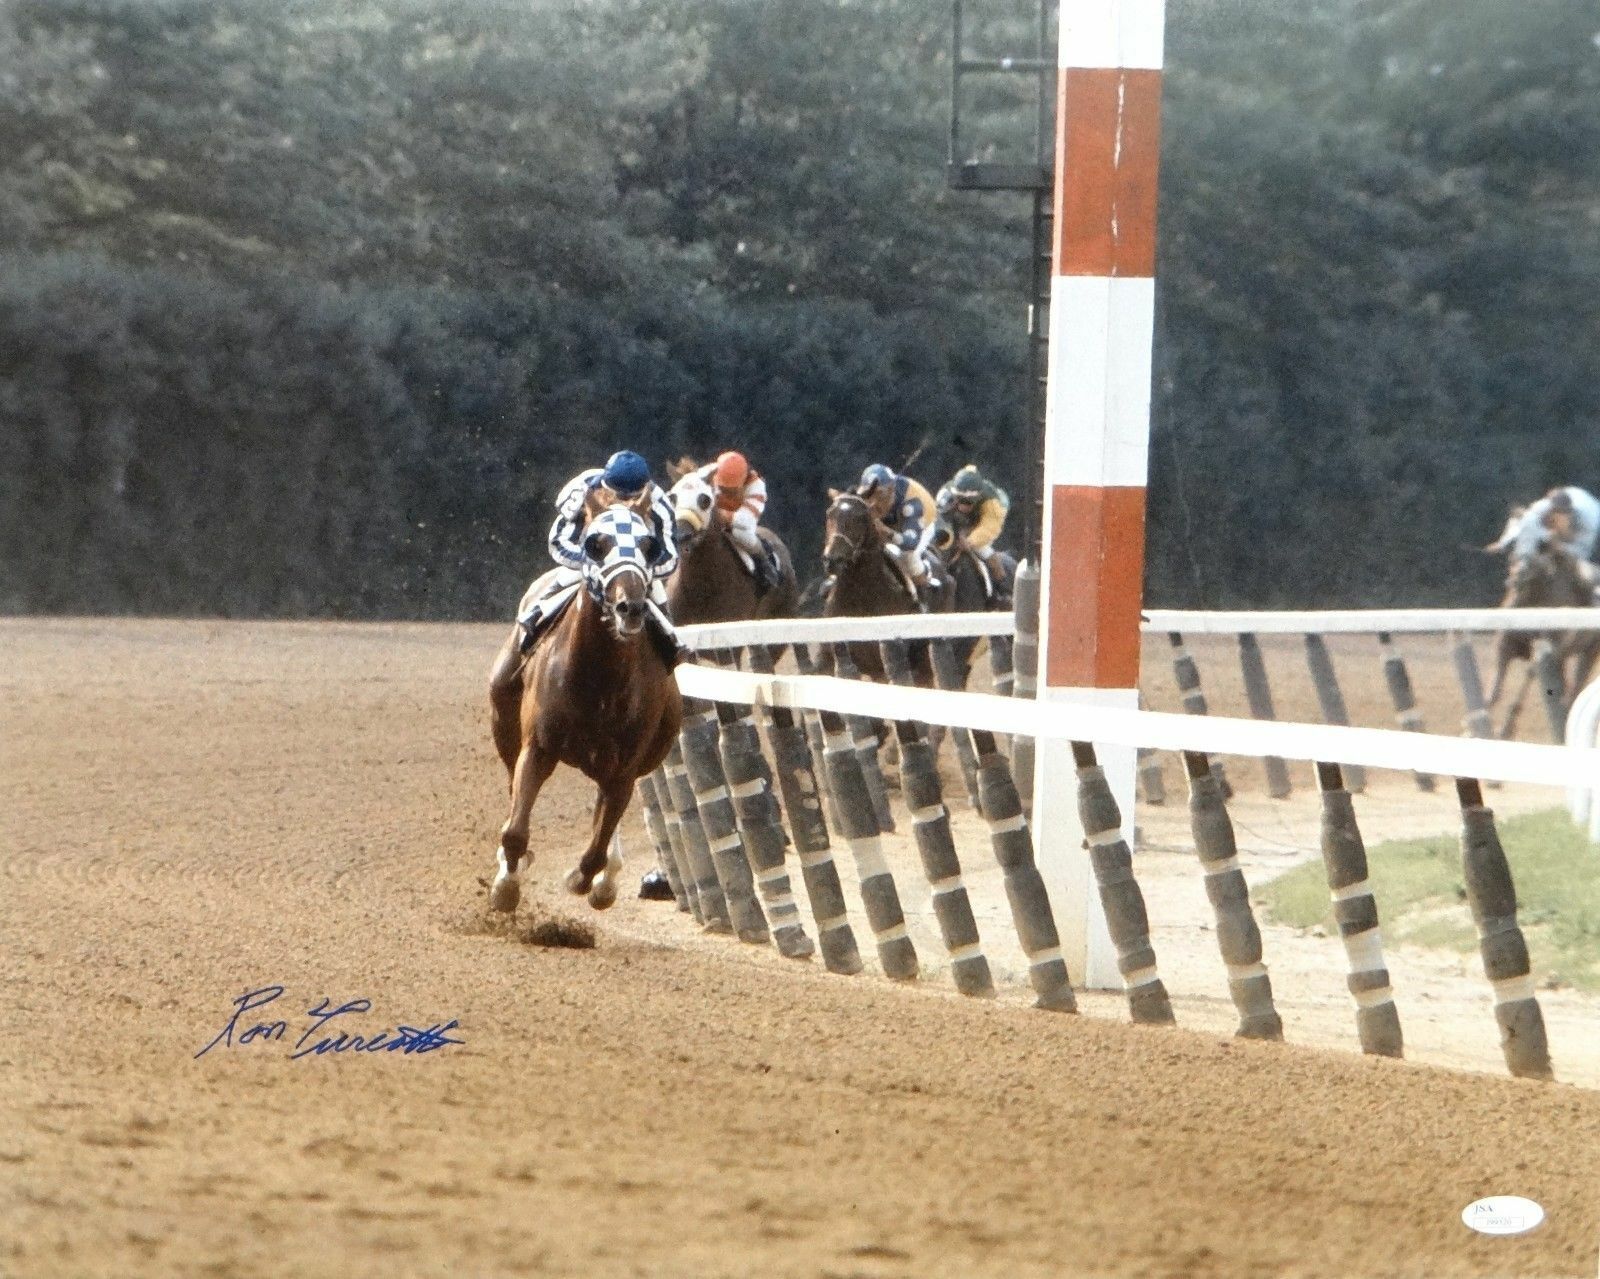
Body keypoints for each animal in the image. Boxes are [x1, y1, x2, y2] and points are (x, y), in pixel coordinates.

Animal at [480, 505, 681, 915]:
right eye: (596, 544)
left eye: (649, 546)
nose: (630, 607)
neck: (598, 676)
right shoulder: (538, 748)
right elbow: (515, 831)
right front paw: (506, 885)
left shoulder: (624, 769)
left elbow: (597, 847)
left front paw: (586, 880)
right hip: (504, 720)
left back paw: (607, 879)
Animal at [1484, 541, 1600, 739]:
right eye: (1512, 557)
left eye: (1533, 560)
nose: (1514, 580)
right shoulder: (1504, 645)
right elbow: (1494, 689)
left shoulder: (1549, 650)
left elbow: (1528, 676)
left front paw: (1505, 729)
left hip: (1589, 652)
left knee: (1575, 687)